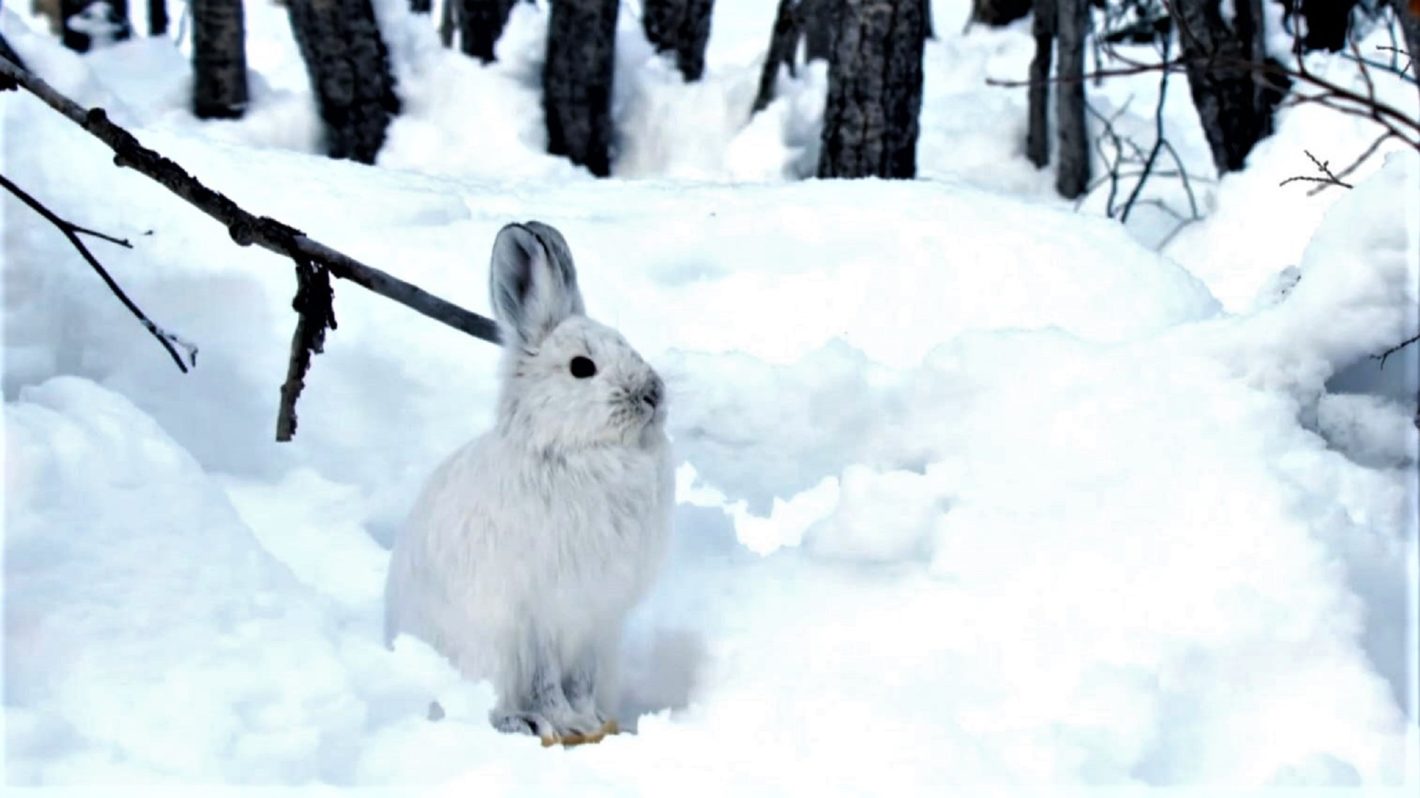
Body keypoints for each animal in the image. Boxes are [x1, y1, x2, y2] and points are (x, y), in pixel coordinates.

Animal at [384, 221, 674, 746]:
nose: (653, 394)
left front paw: (595, 723)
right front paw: (567, 723)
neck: (580, 450)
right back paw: (522, 723)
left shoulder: (598, 617)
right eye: (582, 367)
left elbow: (581, 680)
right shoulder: (539, 613)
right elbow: (547, 681)